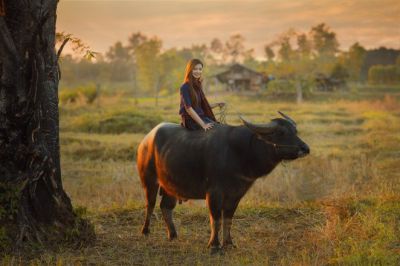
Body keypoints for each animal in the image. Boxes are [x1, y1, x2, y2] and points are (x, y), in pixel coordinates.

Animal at [138, 111, 310, 251]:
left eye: (295, 131)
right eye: (281, 132)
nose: (305, 148)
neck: (239, 151)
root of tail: (146, 141)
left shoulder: (236, 194)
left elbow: (228, 218)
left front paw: (228, 243)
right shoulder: (214, 193)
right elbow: (215, 218)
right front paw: (214, 245)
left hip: (171, 186)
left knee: (166, 206)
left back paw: (173, 234)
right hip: (149, 181)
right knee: (150, 205)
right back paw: (145, 231)